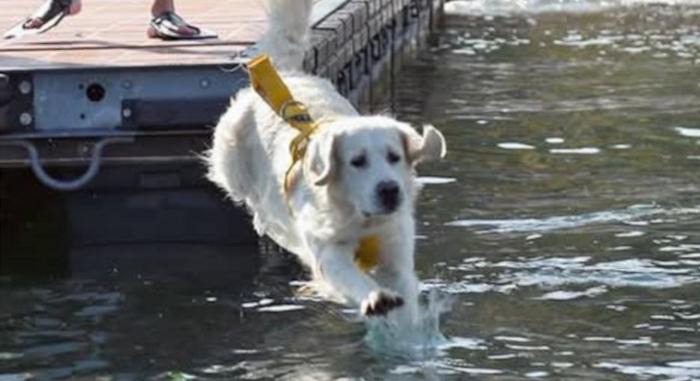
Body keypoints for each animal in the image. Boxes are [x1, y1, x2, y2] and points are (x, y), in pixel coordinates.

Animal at [208, 0, 448, 318]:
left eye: (394, 157)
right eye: (357, 161)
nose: (389, 190)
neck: (361, 219)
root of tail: (285, 74)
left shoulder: (395, 250)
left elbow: (404, 290)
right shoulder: (330, 251)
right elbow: (351, 276)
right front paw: (375, 297)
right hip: (233, 165)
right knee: (254, 202)